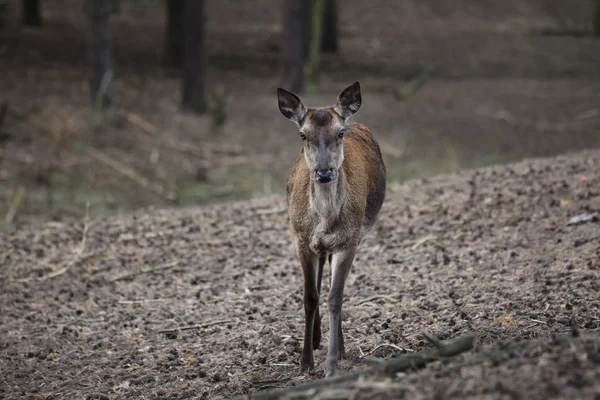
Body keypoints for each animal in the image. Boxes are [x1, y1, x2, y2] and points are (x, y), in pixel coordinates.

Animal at [278, 83, 386, 376]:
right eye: (303, 134)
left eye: (340, 133)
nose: (324, 172)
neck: (324, 219)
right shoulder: (301, 239)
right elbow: (309, 297)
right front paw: (305, 363)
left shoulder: (350, 241)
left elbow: (335, 297)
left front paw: (332, 364)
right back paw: (316, 339)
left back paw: (338, 347)